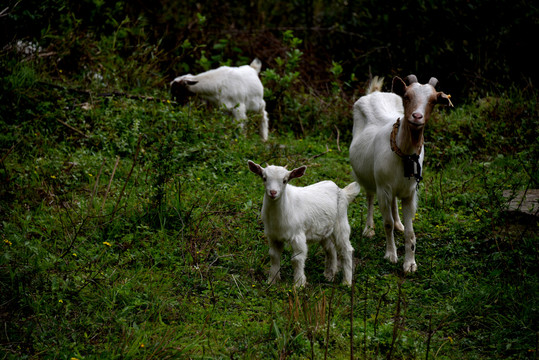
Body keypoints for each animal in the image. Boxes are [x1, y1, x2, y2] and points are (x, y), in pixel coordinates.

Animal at [350, 76, 452, 272]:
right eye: (407, 96)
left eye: (433, 100)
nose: (417, 116)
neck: (403, 153)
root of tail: (374, 93)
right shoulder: (383, 188)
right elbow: (386, 223)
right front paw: (391, 255)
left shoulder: (410, 193)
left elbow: (410, 231)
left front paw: (410, 263)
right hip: (367, 177)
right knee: (369, 197)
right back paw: (369, 229)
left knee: (393, 203)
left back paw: (399, 224)